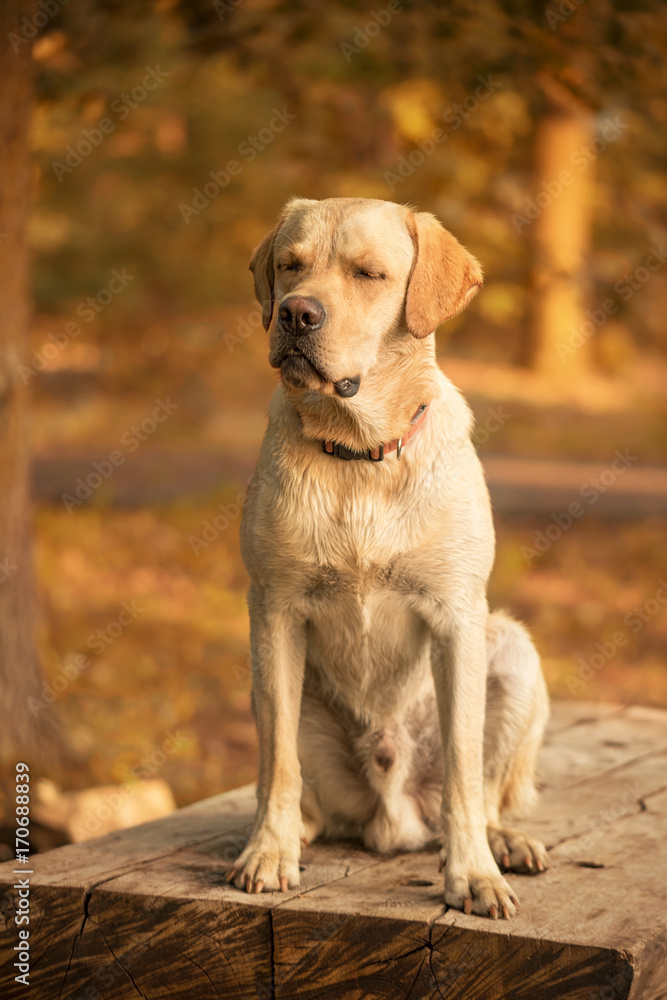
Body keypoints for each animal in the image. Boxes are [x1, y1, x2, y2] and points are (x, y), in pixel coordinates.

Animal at [227, 197, 552, 920]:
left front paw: (472, 874)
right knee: (291, 781)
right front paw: (268, 853)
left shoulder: (458, 617)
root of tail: (393, 818)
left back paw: (504, 843)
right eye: (290, 266)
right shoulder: (274, 610)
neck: (359, 453)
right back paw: (287, 834)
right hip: (277, 690)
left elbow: (463, 768)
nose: (295, 313)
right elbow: (276, 765)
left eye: (368, 274)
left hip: (512, 650)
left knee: (487, 792)